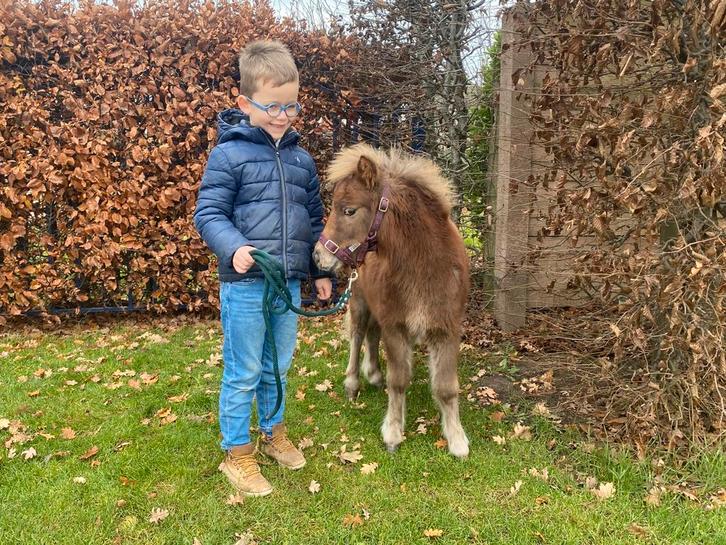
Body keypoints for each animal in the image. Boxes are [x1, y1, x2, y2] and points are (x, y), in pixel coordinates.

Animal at [312, 144, 470, 458]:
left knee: (372, 334)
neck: (425, 267)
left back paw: (373, 374)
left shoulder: (446, 329)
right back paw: (353, 383)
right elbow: (398, 381)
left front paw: (457, 439)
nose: (318, 257)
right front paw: (394, 433)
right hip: (360, 301)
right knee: (358, 335)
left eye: (349, 210)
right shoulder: (397, 328)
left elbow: (446, 387)